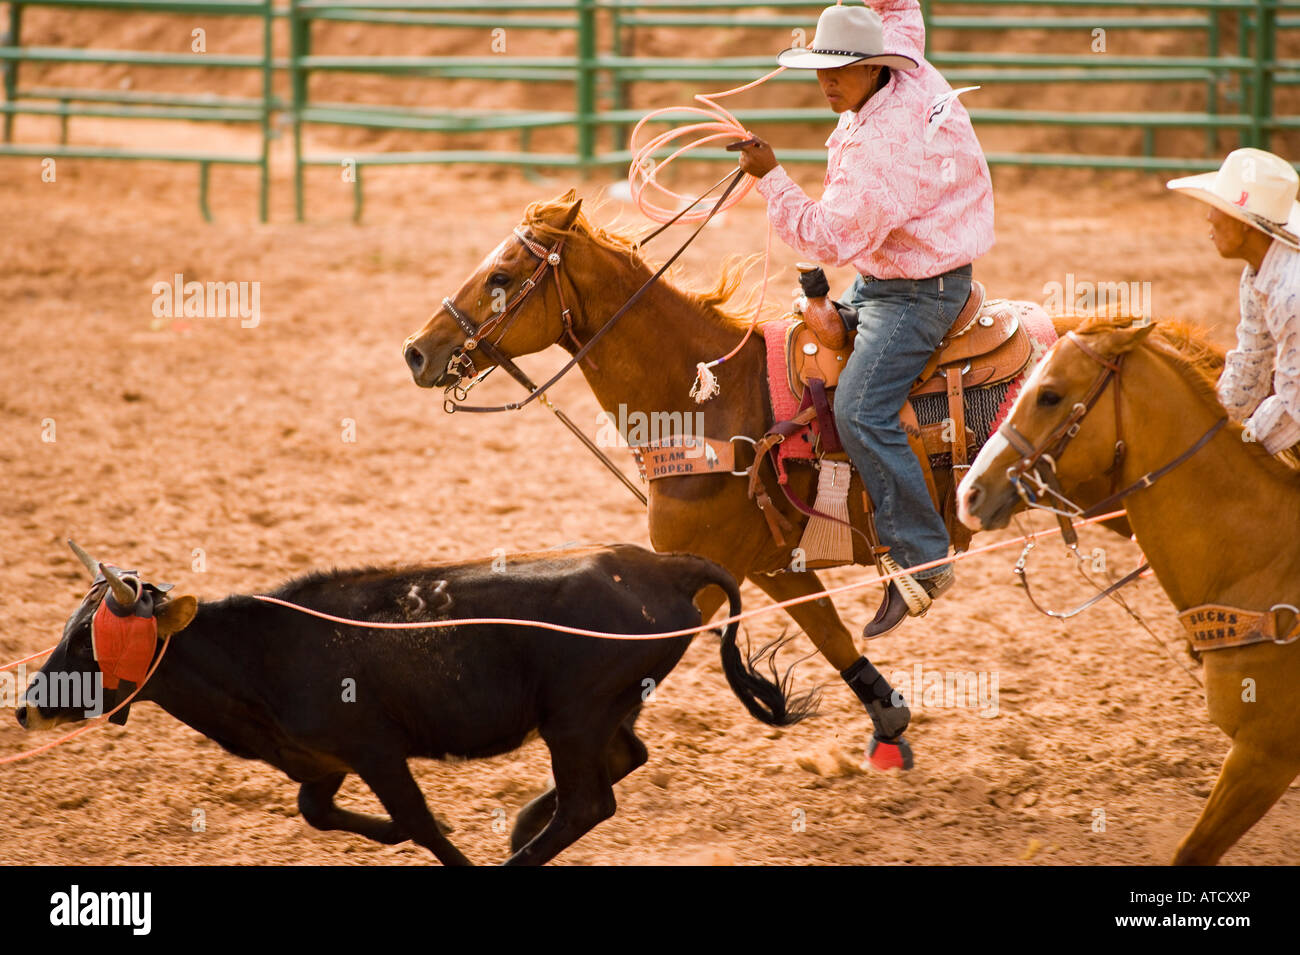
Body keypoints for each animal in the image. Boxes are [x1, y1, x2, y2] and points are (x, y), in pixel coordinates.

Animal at [400, 191, 1123, 764]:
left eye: (500, 275)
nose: (416, 351)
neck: (707, 401)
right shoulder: (774, 563)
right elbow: (832, 636)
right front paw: (887, 728)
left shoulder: (706, 570)